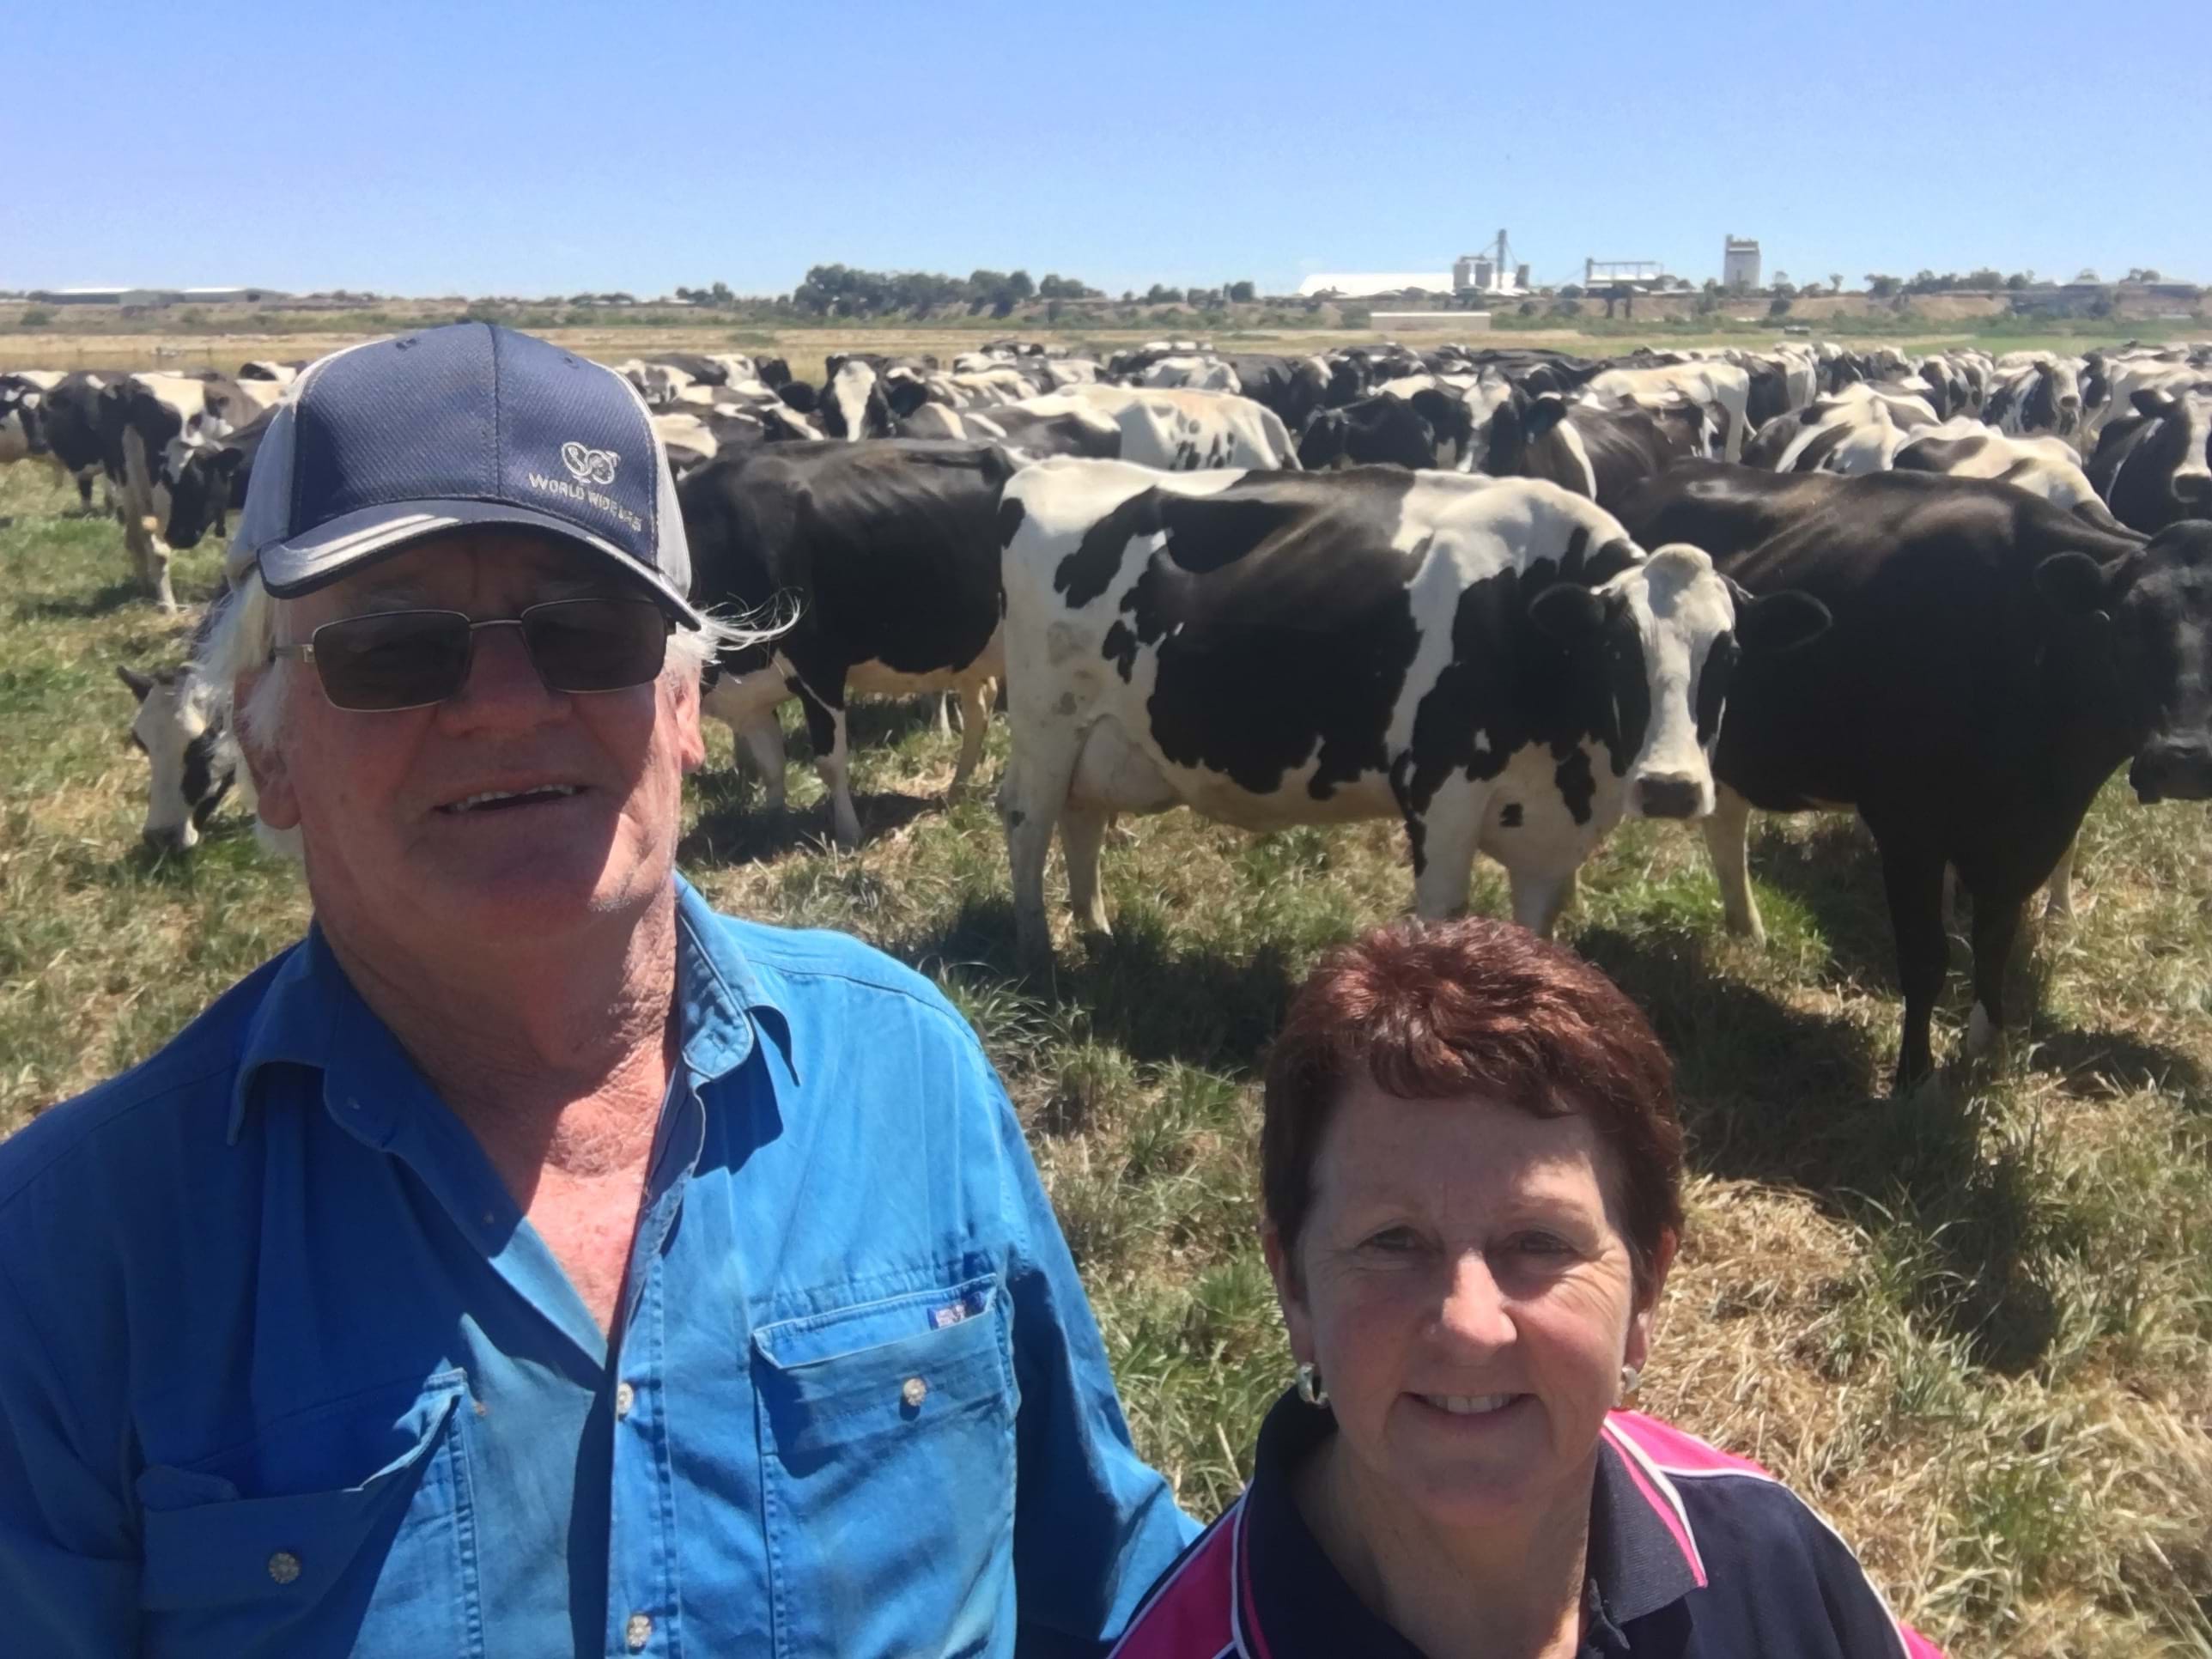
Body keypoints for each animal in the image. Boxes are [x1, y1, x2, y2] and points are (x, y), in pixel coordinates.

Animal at [682, 440, 1015, 849]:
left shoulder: (818, 667)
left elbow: (829, 763)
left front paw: (847, 834)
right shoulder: (750, 689)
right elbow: (771, 764)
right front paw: (772, 823)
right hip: (970, 648)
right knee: (980, 705)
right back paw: (957, 790)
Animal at [994, 459, 1829, 967]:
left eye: (1728, 656)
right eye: (1619, 652)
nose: (1671, 788)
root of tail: (1043, 471)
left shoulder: (1547, 832)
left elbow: (1537, 928)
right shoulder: (1441, 791)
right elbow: (1443, 916)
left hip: (1103, 738)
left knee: (1082, 821)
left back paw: (1098, 933)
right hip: (1043, 724)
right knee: (1029, 823)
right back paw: (1037, 953)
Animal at [1615, 463, 2206, 1089]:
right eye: (2127, 625)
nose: (2187, 759)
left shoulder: (2025, 838)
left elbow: (1994, 944)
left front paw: (1985, 1049)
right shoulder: (1907, 829)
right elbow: (1926, 958)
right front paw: (1915, 1076)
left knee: (1725, 819)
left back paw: (1746, 931)